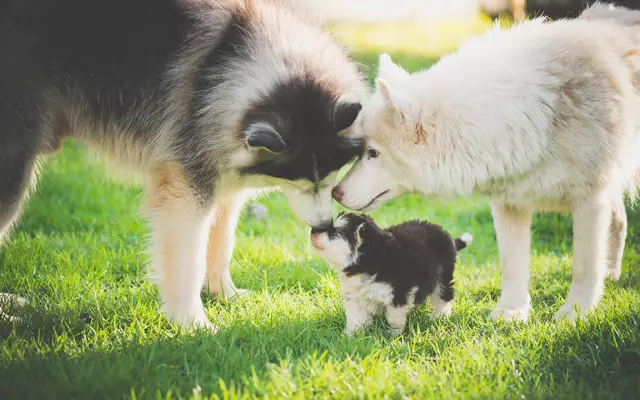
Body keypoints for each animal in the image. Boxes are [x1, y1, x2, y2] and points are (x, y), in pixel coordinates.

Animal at [310, 212, 470, 334]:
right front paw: (351, 336)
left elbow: (394, 318)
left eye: (335, 232)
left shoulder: (399, 294)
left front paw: (394, 335)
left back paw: (439, 317)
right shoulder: (355, 297)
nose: (313, 230)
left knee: (443, 297)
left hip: (443, 277)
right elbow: (356, 318)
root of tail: (450, 238)